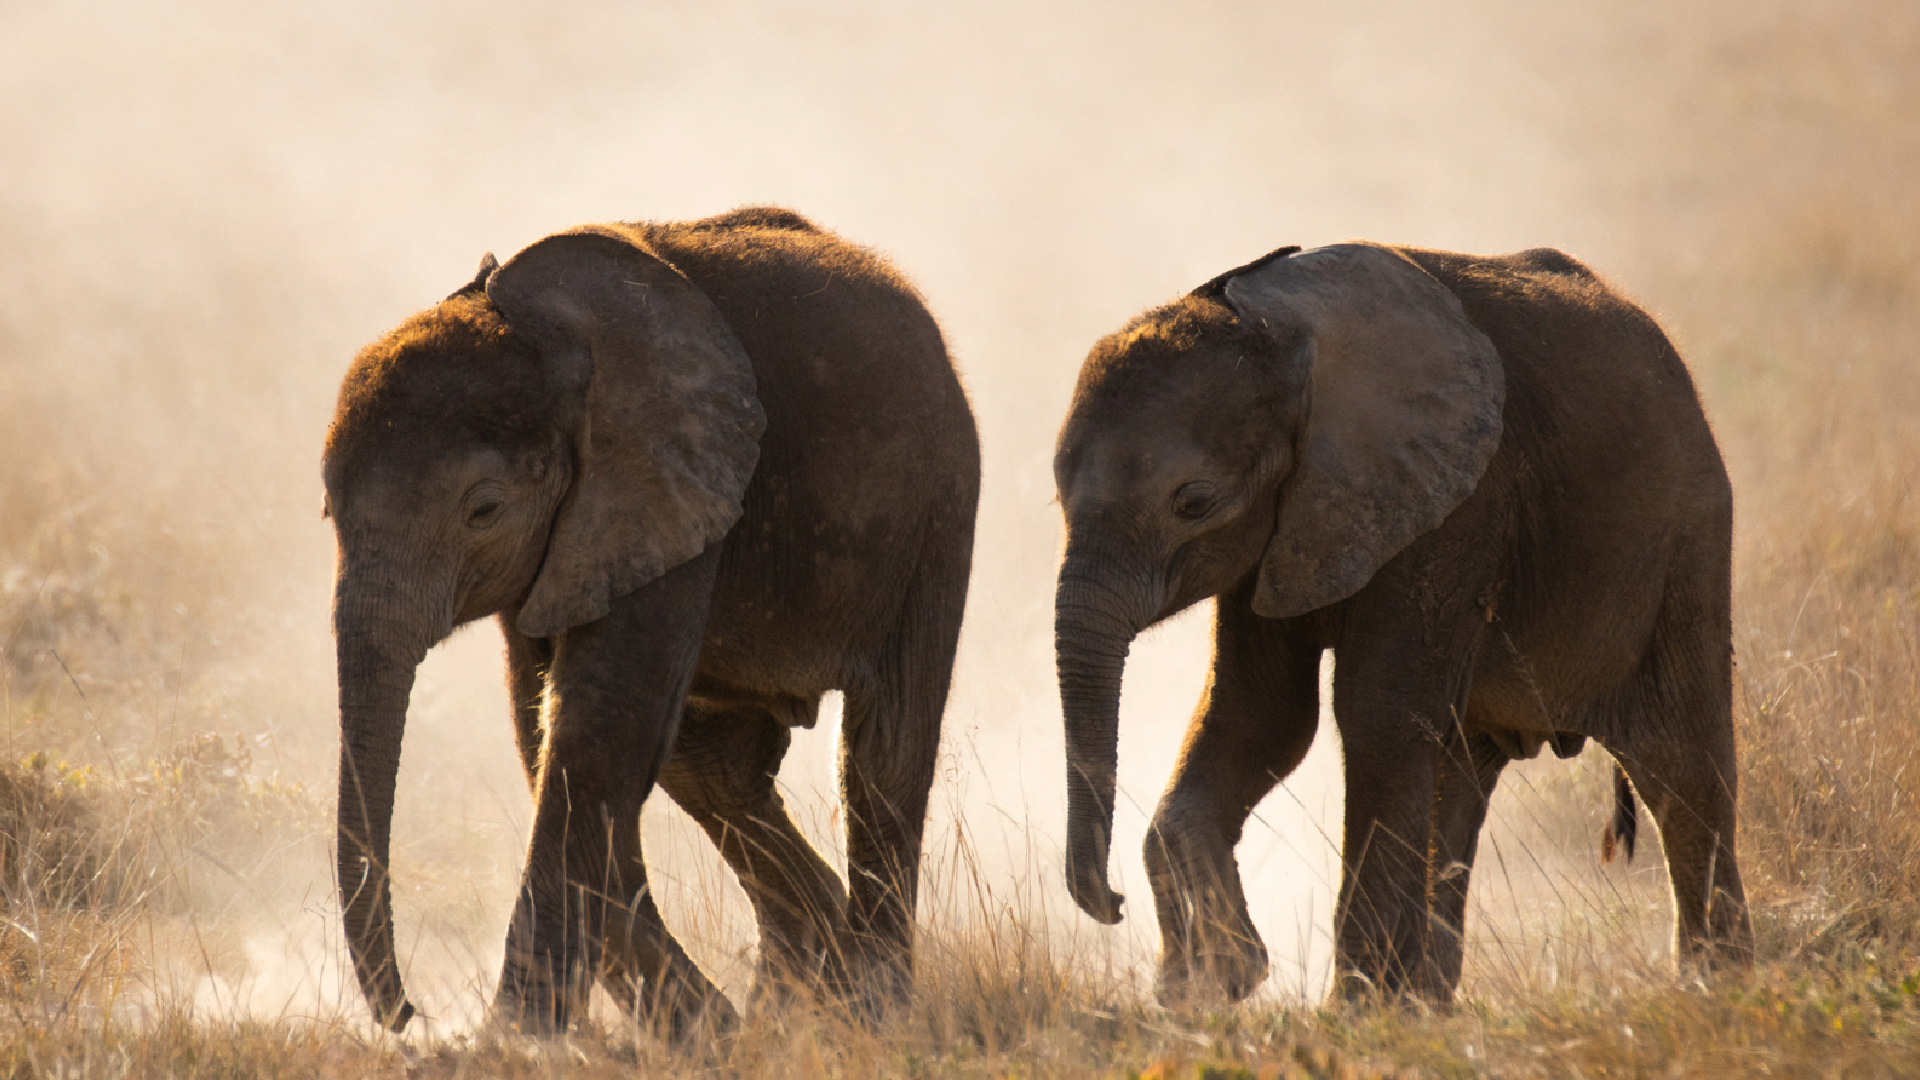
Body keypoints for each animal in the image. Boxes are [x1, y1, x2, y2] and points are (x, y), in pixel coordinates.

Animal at [324, 203, 983, 1037]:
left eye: (484, 510)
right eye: (327, 508)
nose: (410, 1015)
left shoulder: (664, 486)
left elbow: (593, 733)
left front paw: (512, 1043)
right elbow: (553, 733)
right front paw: (709, 1039)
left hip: (937, 512)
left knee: (882, 753)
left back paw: (869, 1012)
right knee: (712, 771)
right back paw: (794, 1002)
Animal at [1052, 239, 1758, 1006]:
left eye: (1193, 503)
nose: (1112, 903)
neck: (1282, 334)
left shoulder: (1458, 504)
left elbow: (1376, 718)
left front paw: (1349, 1011)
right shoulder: (1273, 537)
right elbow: (1259, 716)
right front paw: (1213, 978)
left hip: (1685, 544)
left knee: (1679, 768)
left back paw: (1718, 984)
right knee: (1458, 779)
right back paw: (1428, 1006)